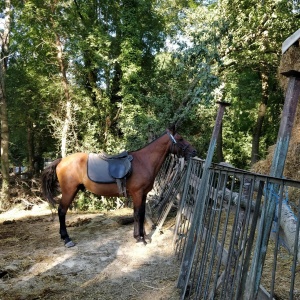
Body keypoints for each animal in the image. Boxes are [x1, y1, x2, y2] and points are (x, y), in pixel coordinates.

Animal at [42, 127, 197, 247]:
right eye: (181, 138)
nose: (194, 152)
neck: (144, 161)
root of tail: (61, 160)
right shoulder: (137, 193)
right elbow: (137, 214)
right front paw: (140, 239)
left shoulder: (143, 194)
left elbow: (141, 214)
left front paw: (142, 236)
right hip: (69, 191)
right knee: (62, 211)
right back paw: (67, 239)